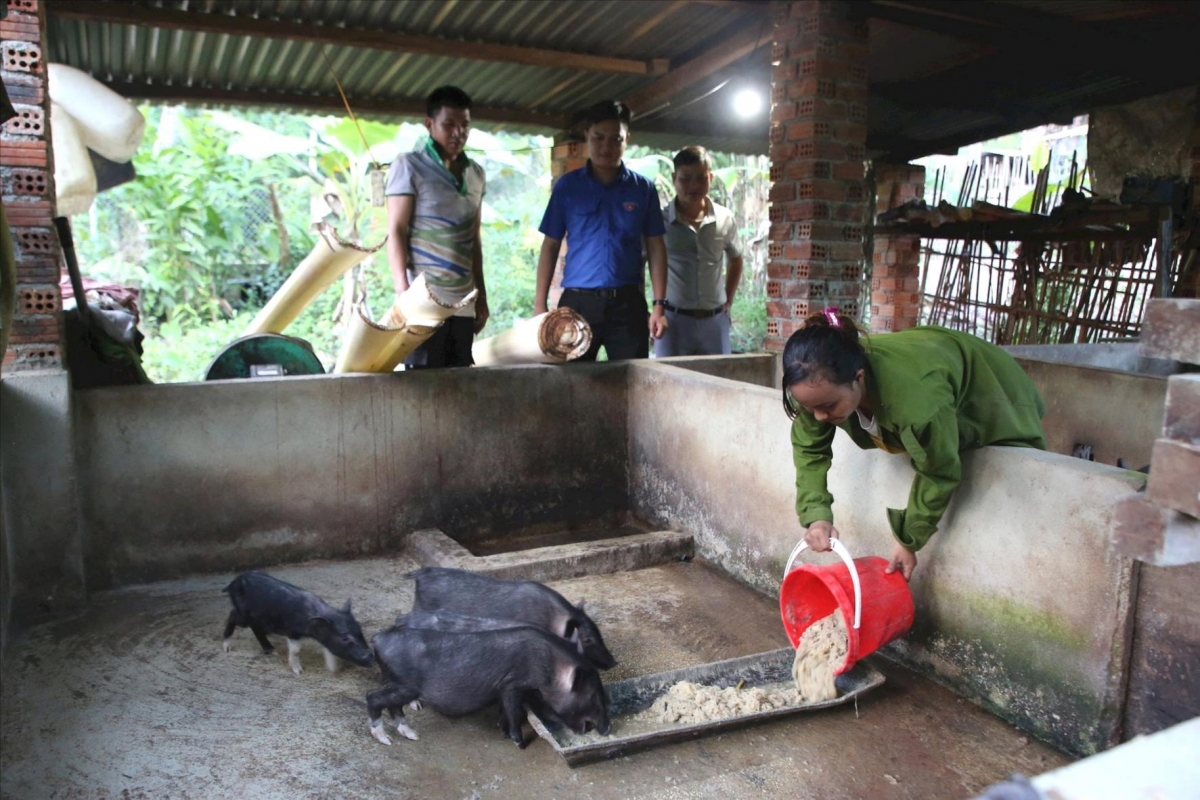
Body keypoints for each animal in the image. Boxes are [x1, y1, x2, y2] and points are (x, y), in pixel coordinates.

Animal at [223, 568, 372, 676]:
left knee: (256, 628)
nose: (372, 658)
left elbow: (328, 649)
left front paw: (333, 670)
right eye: (345, 638)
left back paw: (272, 651)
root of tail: (234, 582)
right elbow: (295, 650)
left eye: (360, 631)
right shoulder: (292, 630)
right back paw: (227, 648)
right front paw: (299, 672)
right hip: (244, 615)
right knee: (232, 615)